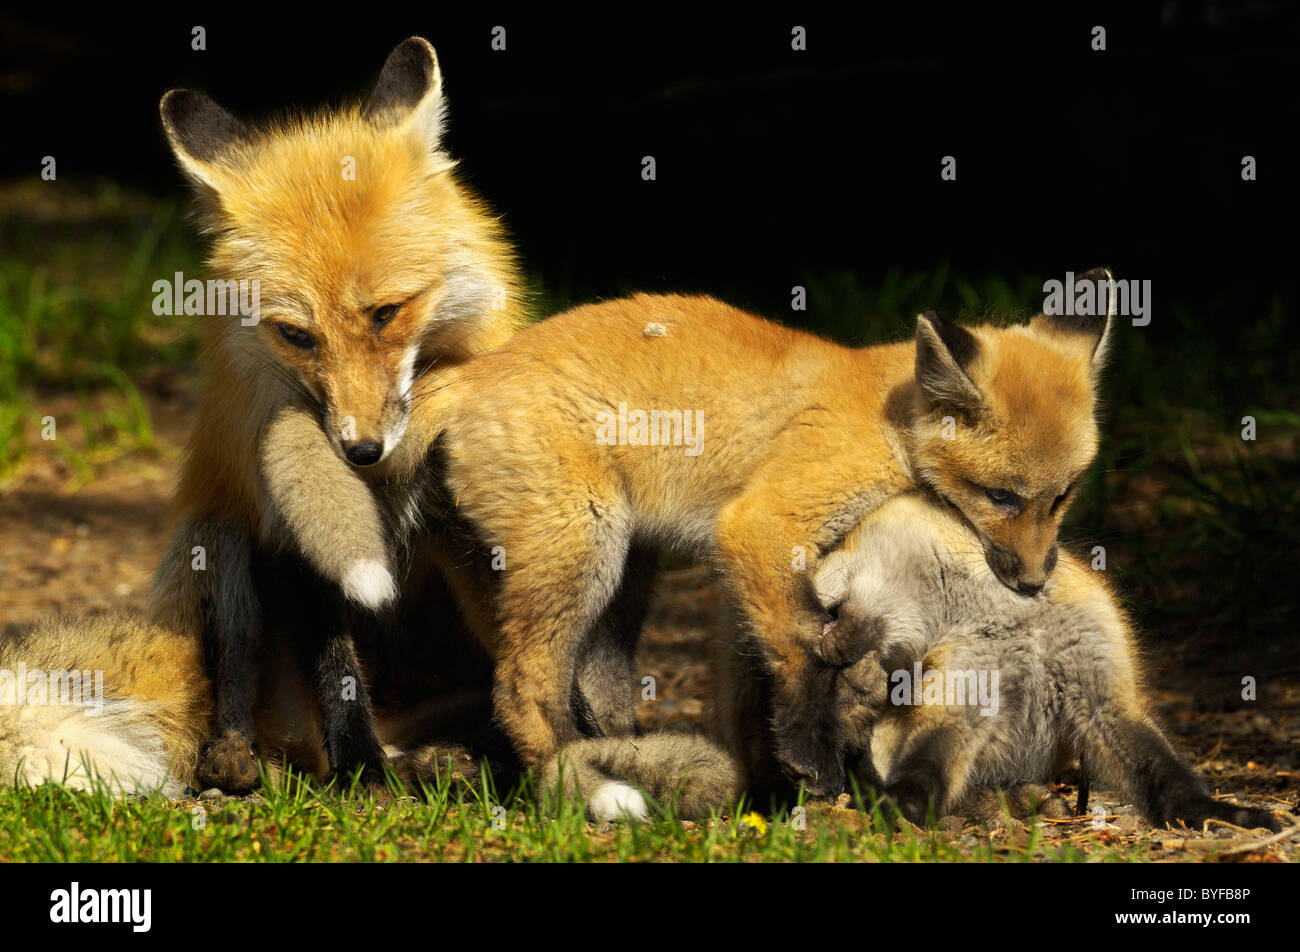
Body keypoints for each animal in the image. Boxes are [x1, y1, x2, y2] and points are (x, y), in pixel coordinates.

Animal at [148, 36, 526, 790]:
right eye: (298, 336)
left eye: (387, 313)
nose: (360, 452)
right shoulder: (293, 536)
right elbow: (335, 669)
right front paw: (361, 772)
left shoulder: (471, 526)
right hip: (222, 530)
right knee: (237, 670)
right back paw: (241, 754)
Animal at [266, 274, 1119, 797]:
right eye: (1001, 496)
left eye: (1063, 495)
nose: (1034, 581)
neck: (890, 421)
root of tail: (470, 373)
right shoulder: (760, 529)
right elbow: (805, 661)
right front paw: (813, 764)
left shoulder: (761, 571)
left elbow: (764, 681)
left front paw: (779, 779)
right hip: (586, 547)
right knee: (520, 685)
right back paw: (575, 783)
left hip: (610, 575)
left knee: (590, 689)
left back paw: (627, 757)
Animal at [799, 490, 1282, 831]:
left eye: (827, 610)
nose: (823, 653)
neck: (1016, 620)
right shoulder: (963, 699)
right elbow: (925, 768)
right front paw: (901, 807)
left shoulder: (1104, 698)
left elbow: (1168, 774)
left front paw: (1215, 814)